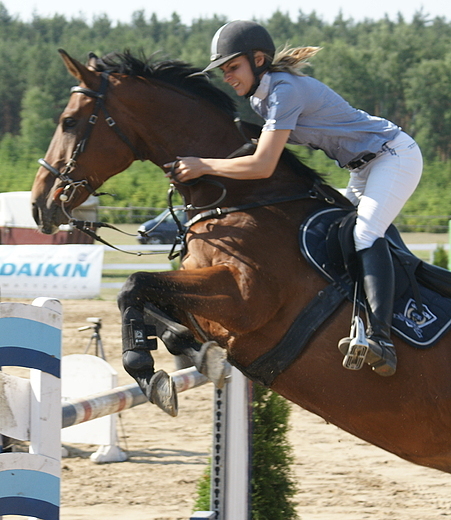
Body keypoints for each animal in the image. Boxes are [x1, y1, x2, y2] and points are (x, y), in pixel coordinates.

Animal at [30, 49, 451, 476]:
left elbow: (133, 284)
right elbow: (152, 304)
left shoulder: (245, 300)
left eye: (69, 122)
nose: (39, 204)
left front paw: (147, 367)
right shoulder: (200, 296)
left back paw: (377, 346)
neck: (242, 199)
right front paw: (189, 355)